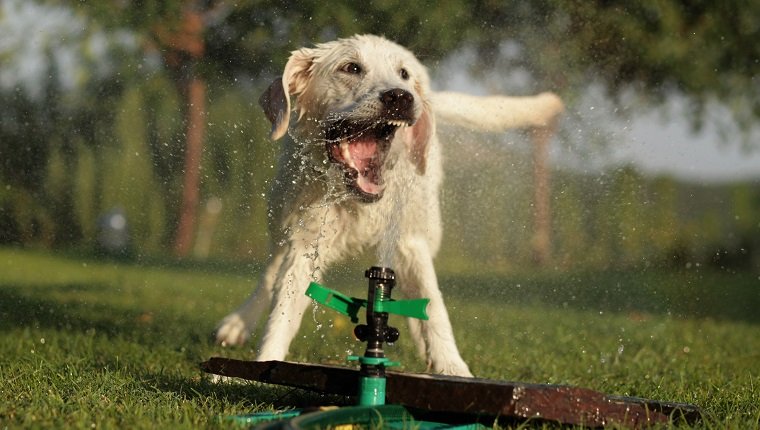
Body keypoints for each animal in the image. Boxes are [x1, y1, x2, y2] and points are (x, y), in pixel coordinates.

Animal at [217, 34, 560, 376]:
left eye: (404, 74)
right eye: (351, 68)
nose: (401, 96)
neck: (358, 202)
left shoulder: (410, 240)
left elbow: (434, 306)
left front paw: (453, 368)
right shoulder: (304, 241)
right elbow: (282, 311)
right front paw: (262, 365)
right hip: (280, 214)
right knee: (269, 274)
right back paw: (237, 323)